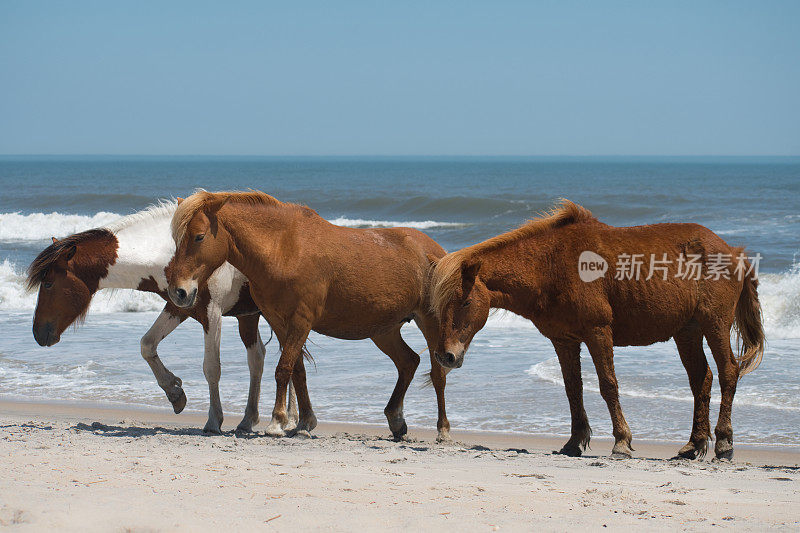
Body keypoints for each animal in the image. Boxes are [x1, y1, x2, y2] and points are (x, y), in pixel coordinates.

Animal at [28, 200, 298, 432]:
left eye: (49, 284)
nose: (38, 334)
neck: (171, 255)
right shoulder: (179, 308)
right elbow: (147, 345)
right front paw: (175, 393)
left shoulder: (212, 313)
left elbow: (211, 367)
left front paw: (213, 420)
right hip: (249, 316)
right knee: (260, 358)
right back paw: (254, 420)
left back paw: (289, 421)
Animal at [166, 191, 454, 440]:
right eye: (177, 239)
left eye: (199, 237)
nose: (179, 292)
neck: (283, 249)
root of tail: (437, 251)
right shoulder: (279, 322)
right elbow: (298, 370)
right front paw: (304, 422)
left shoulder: (301, 320)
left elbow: (284, 369)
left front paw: (277, 421)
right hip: (384, 330)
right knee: (408, 362)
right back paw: (396, 420)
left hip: (430, 322)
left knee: (437, 373)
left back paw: (443, 430)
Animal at [432, 200, 764, 462]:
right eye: (440, 304)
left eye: (464, 301)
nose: (446, 356)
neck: (551, 264)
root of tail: (733, 251)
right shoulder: (564, 341)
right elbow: (573, 389)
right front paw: (574, 442)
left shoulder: (598, 332)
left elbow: (608, 385)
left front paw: (621, 442)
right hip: (687, 332)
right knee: (701, 380)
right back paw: (693, 445)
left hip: (714, 324)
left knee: (728, 372)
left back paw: (723, 443)